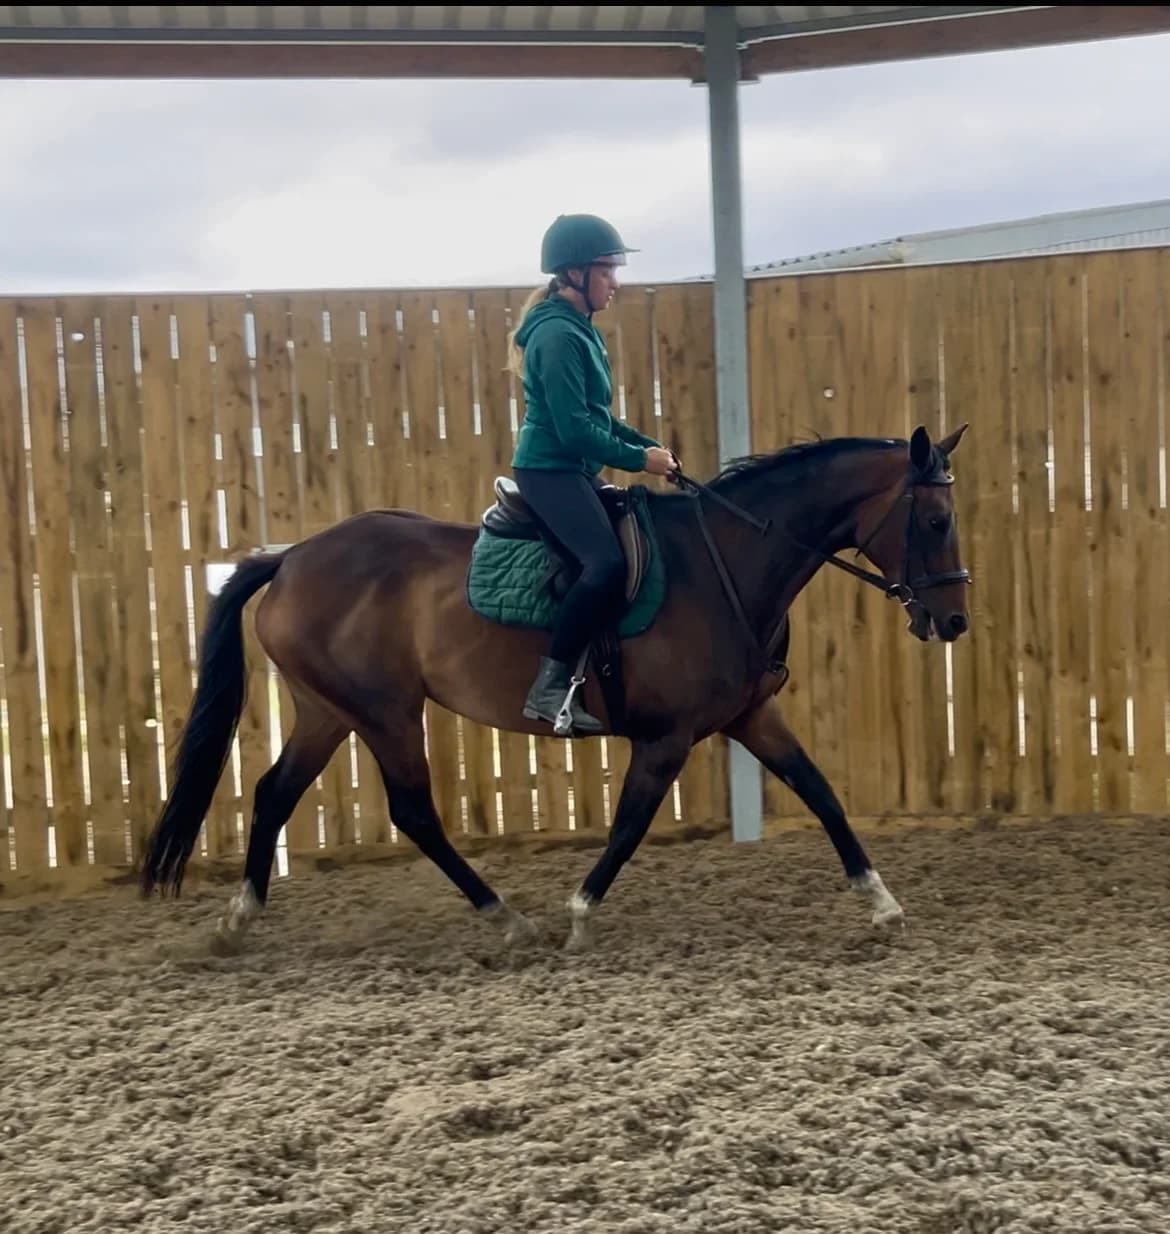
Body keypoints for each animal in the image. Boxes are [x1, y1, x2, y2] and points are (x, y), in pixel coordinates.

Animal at [140, 423, 970, 952]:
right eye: (934, 519)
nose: (954, 619)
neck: (723, 563)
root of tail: (291, 558)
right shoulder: (665, 739)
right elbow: (629, 825)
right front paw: (578, 914)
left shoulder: (750, 717)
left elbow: (821, 794)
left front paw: (883, 904)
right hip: (384, 713)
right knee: (413, 812)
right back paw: (506, 918)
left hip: (329, 711)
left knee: (274, 793)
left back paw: (240, 919)